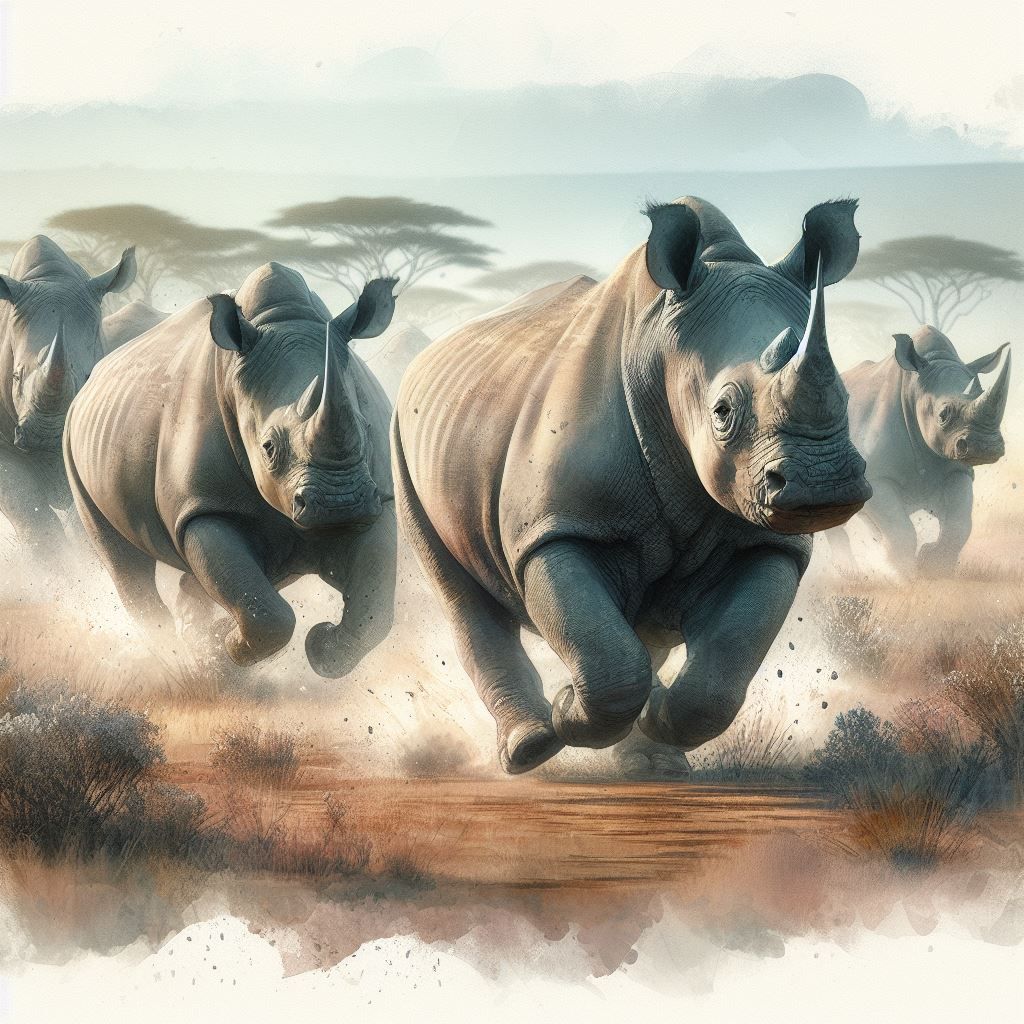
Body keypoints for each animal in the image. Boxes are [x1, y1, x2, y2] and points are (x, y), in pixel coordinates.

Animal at [64, 262, 398, 675]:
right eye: (268, 447)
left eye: (366, 430)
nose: (340, 504)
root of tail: (91, 380)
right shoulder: (202, 507)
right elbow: (266, 614)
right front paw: (229, 648)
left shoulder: (379, 500)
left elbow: (374, 611)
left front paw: (321, 648)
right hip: (72, 440)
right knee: (124, 564)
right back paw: (173, 651)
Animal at [393, 197, 871, 774]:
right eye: (722, 411)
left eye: (846, 395)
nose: (823, 484)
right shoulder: (555, 528)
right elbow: (607, 662)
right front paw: (567, 709)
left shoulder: (768, 542)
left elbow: (722, 669)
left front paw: (657, 717)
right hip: (401, 436)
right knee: (460, 593)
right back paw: (529, 750)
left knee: (648, 632)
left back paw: (653, 762)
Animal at [828, 325, 1011, 578]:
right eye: (943, 414)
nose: (985, 447)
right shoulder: (874, 475)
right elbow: (900, 530)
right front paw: (906, 576)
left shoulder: (957, 470)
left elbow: (959, 523)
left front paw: (933, 567)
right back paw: (851, 574)